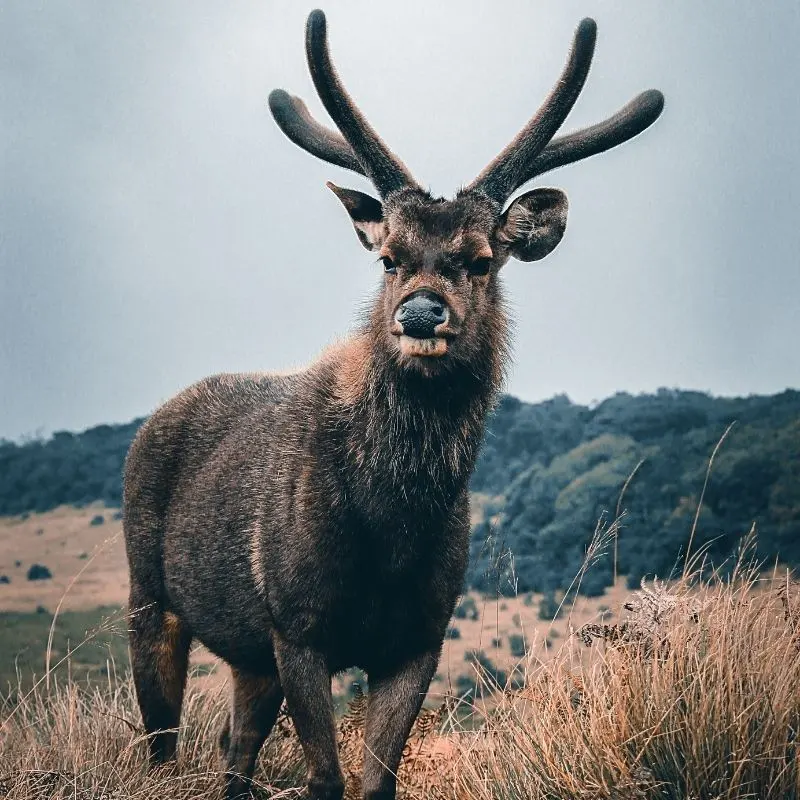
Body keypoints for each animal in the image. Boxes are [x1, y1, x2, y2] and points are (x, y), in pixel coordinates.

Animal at [123, 9, 663, 800]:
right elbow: (327, 779)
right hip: (148, 594)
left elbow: (378, 782)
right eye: (388, 258)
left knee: (234, 748)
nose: (419, 314)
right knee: (161, 743)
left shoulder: (420, 635)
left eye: (480, 259)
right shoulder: (297, 622)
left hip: (249, 656)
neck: (392, 524)